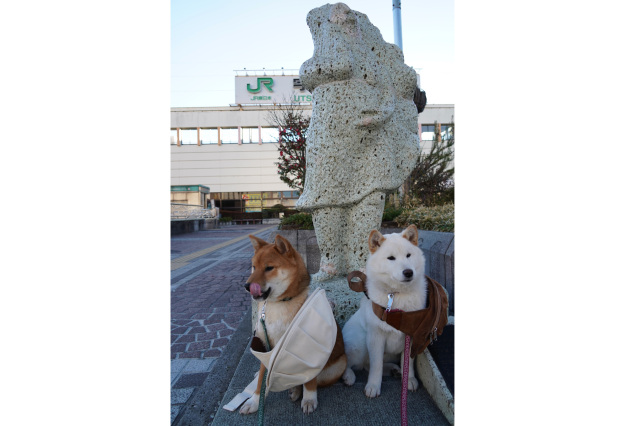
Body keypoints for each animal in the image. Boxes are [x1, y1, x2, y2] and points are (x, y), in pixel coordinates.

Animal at [241, 235, 350, 414]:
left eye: (269, 268)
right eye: (254, 267)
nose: (247, 286)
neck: (279, 304)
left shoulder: (308, 349)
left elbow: (310, 381)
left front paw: (309, 399)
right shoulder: (267, 346)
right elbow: (261, 382)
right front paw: (254, 401)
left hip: (335, 367)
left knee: (306, 379)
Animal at [342, 225, 428, 398]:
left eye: (408, 255)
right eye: (391, 258)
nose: (408, 272)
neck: (397, 295)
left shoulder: (411, 336)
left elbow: (408, 362)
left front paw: (408, 379)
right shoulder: (376, 336)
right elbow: (376, 366)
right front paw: (373, 386)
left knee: (367, 365)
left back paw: (394, 370)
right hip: (360, 343)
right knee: (351, 363)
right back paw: (348, 376)